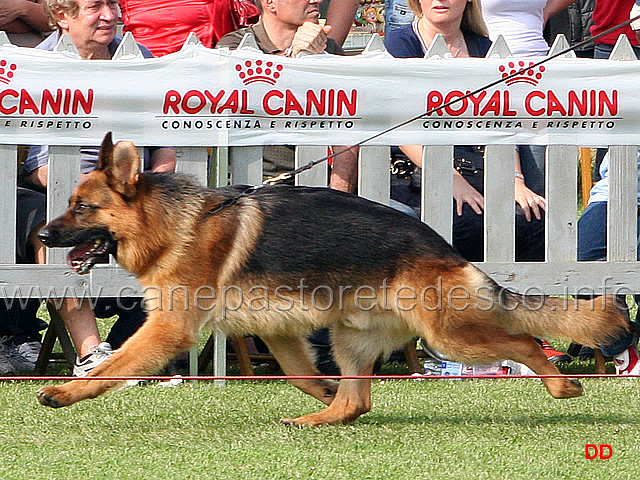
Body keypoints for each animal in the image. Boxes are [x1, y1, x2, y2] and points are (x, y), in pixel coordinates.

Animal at [37, 131, 628, 424]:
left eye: (82, 207)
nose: (42, 235)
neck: (171, 222)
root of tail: (444, 250)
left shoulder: (168, 330)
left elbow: (113, 367)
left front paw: (63, 392)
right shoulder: (277, 333)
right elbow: (302, 376)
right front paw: (320, 391)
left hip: (450, 335)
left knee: (525, 341)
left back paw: (560, 383)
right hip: (351, 337)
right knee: (356, 400)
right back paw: (320, 416)